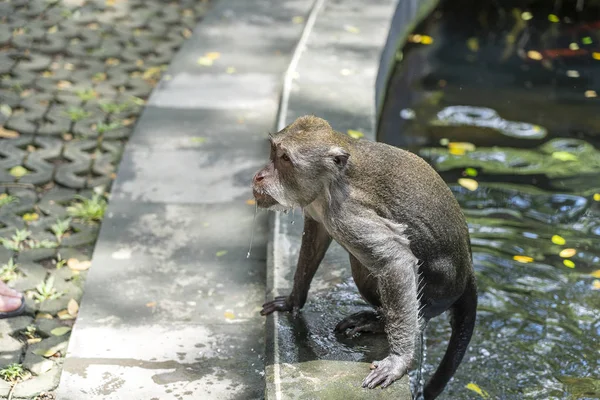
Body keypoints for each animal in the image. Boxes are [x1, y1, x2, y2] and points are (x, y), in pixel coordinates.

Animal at [251, 114, 476, 398]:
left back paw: (381, 323)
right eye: (273, 152)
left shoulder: (346, 211)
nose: (259, 176)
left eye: (284, 158)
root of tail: (468, 269)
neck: (329, 183)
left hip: (439, 291)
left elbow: (395, 260)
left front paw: (399, 360)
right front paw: (292, 301)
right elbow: (317, 234)